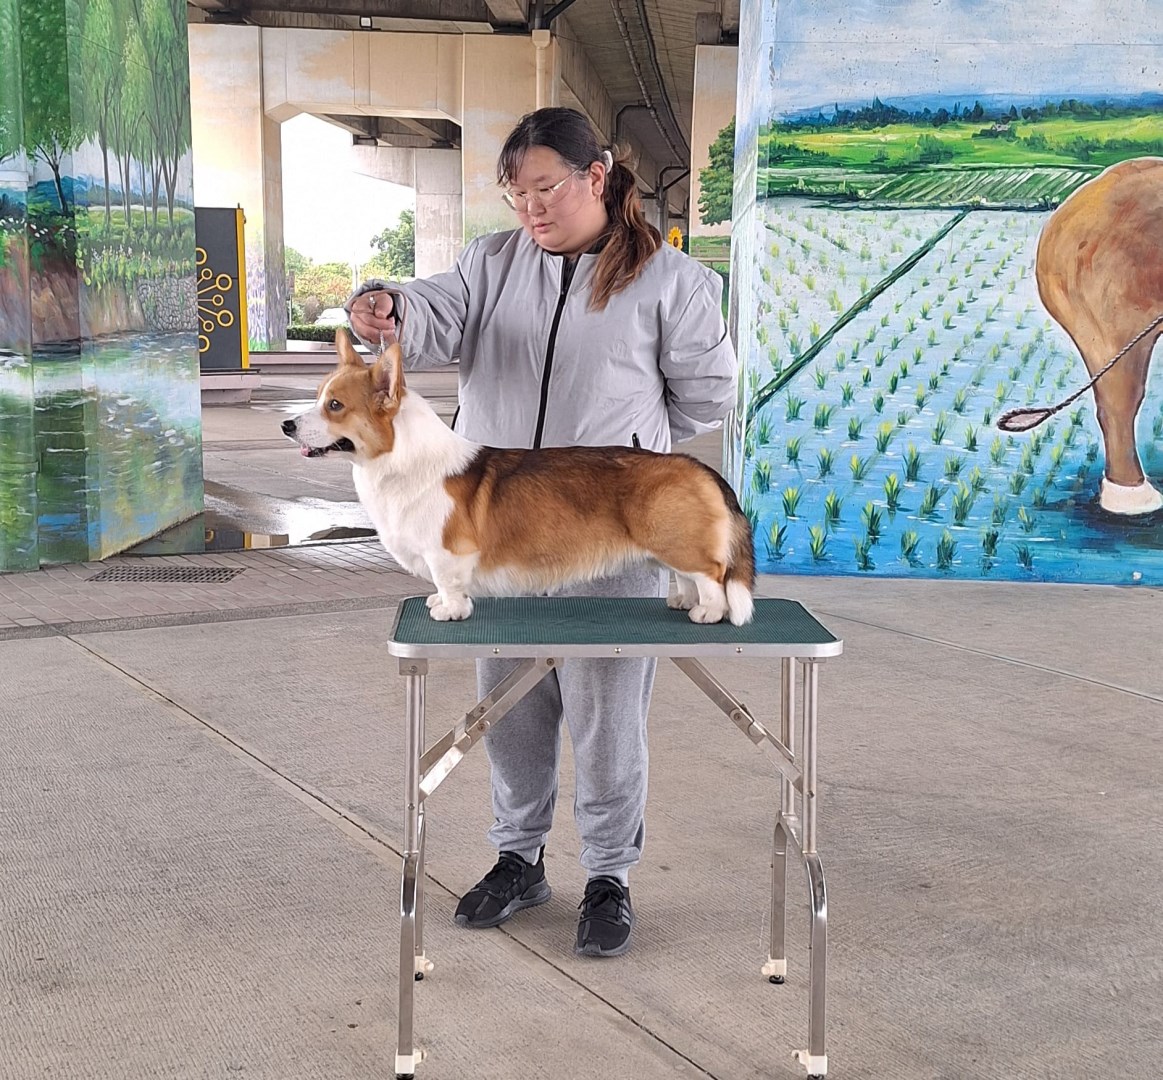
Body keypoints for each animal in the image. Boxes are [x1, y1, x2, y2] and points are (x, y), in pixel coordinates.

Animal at [282, 329, 755, 625]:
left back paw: (707, 613)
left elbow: (449, 583)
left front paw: (448, 610)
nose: (286, 425)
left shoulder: (446, 553)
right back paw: (682, 602)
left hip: (679, 542)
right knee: (688, 577)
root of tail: (700, 467)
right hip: (669, 544)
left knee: (712, 576)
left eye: (335, 406)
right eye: (319, 397)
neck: (400, 459)